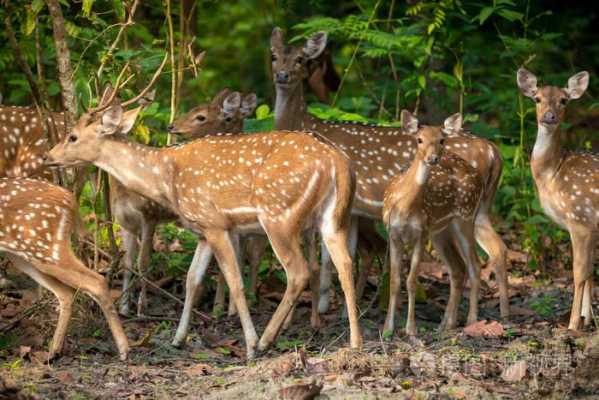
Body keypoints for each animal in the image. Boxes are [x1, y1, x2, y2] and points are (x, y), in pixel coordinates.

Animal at [0, 177, 130, 360]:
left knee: (97, 281)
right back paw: (53, 351)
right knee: (67, 293)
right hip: (27, 254)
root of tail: (70, 198)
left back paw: (124, 350)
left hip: (43, 247)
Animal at [45, 86, 360, 358]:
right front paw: (178, 338)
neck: (165, 178)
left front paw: (249, 344)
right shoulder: (202, 230)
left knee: (298, 272)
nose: (49, 156)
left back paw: (266, 340)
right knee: (344, 264)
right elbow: (191, 280)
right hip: (333, 217)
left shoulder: (216, 223)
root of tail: (337, 162)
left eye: (72, 137)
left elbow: (234, 281)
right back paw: (355, 342)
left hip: (279, 214)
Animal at [384, 111, 488, 334]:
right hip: (440, 231)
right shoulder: (393, 233)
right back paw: (446, 324)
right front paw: (388, 328)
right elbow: (395, 281)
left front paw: (411, 329)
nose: (433, 158)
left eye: (442, 140)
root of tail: (477, 175)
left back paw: (471, 320)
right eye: (419, 139)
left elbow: (411, 280)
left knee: (474, 265)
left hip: (465, 217)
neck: (405, 206)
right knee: (458, 268)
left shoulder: (421, 234)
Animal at [516, 69, 596, 332]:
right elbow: (590, 272)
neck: (552, 174)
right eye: (537, 98)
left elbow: (579, 273)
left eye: (564, 100)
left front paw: (572, 325)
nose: (549, 116)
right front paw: (588, 319)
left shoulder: (580, 219)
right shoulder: (591, 227)